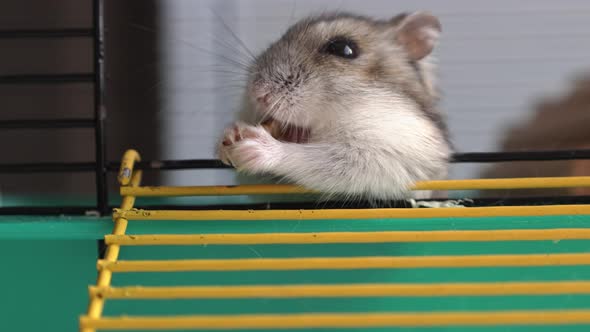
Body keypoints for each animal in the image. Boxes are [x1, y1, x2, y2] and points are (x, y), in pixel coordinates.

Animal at [217, 11, 454, 200]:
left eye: (344, 49)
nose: (257, 93)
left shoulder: (392, 151)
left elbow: (322, 158)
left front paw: (254, 146)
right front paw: (231, 134)